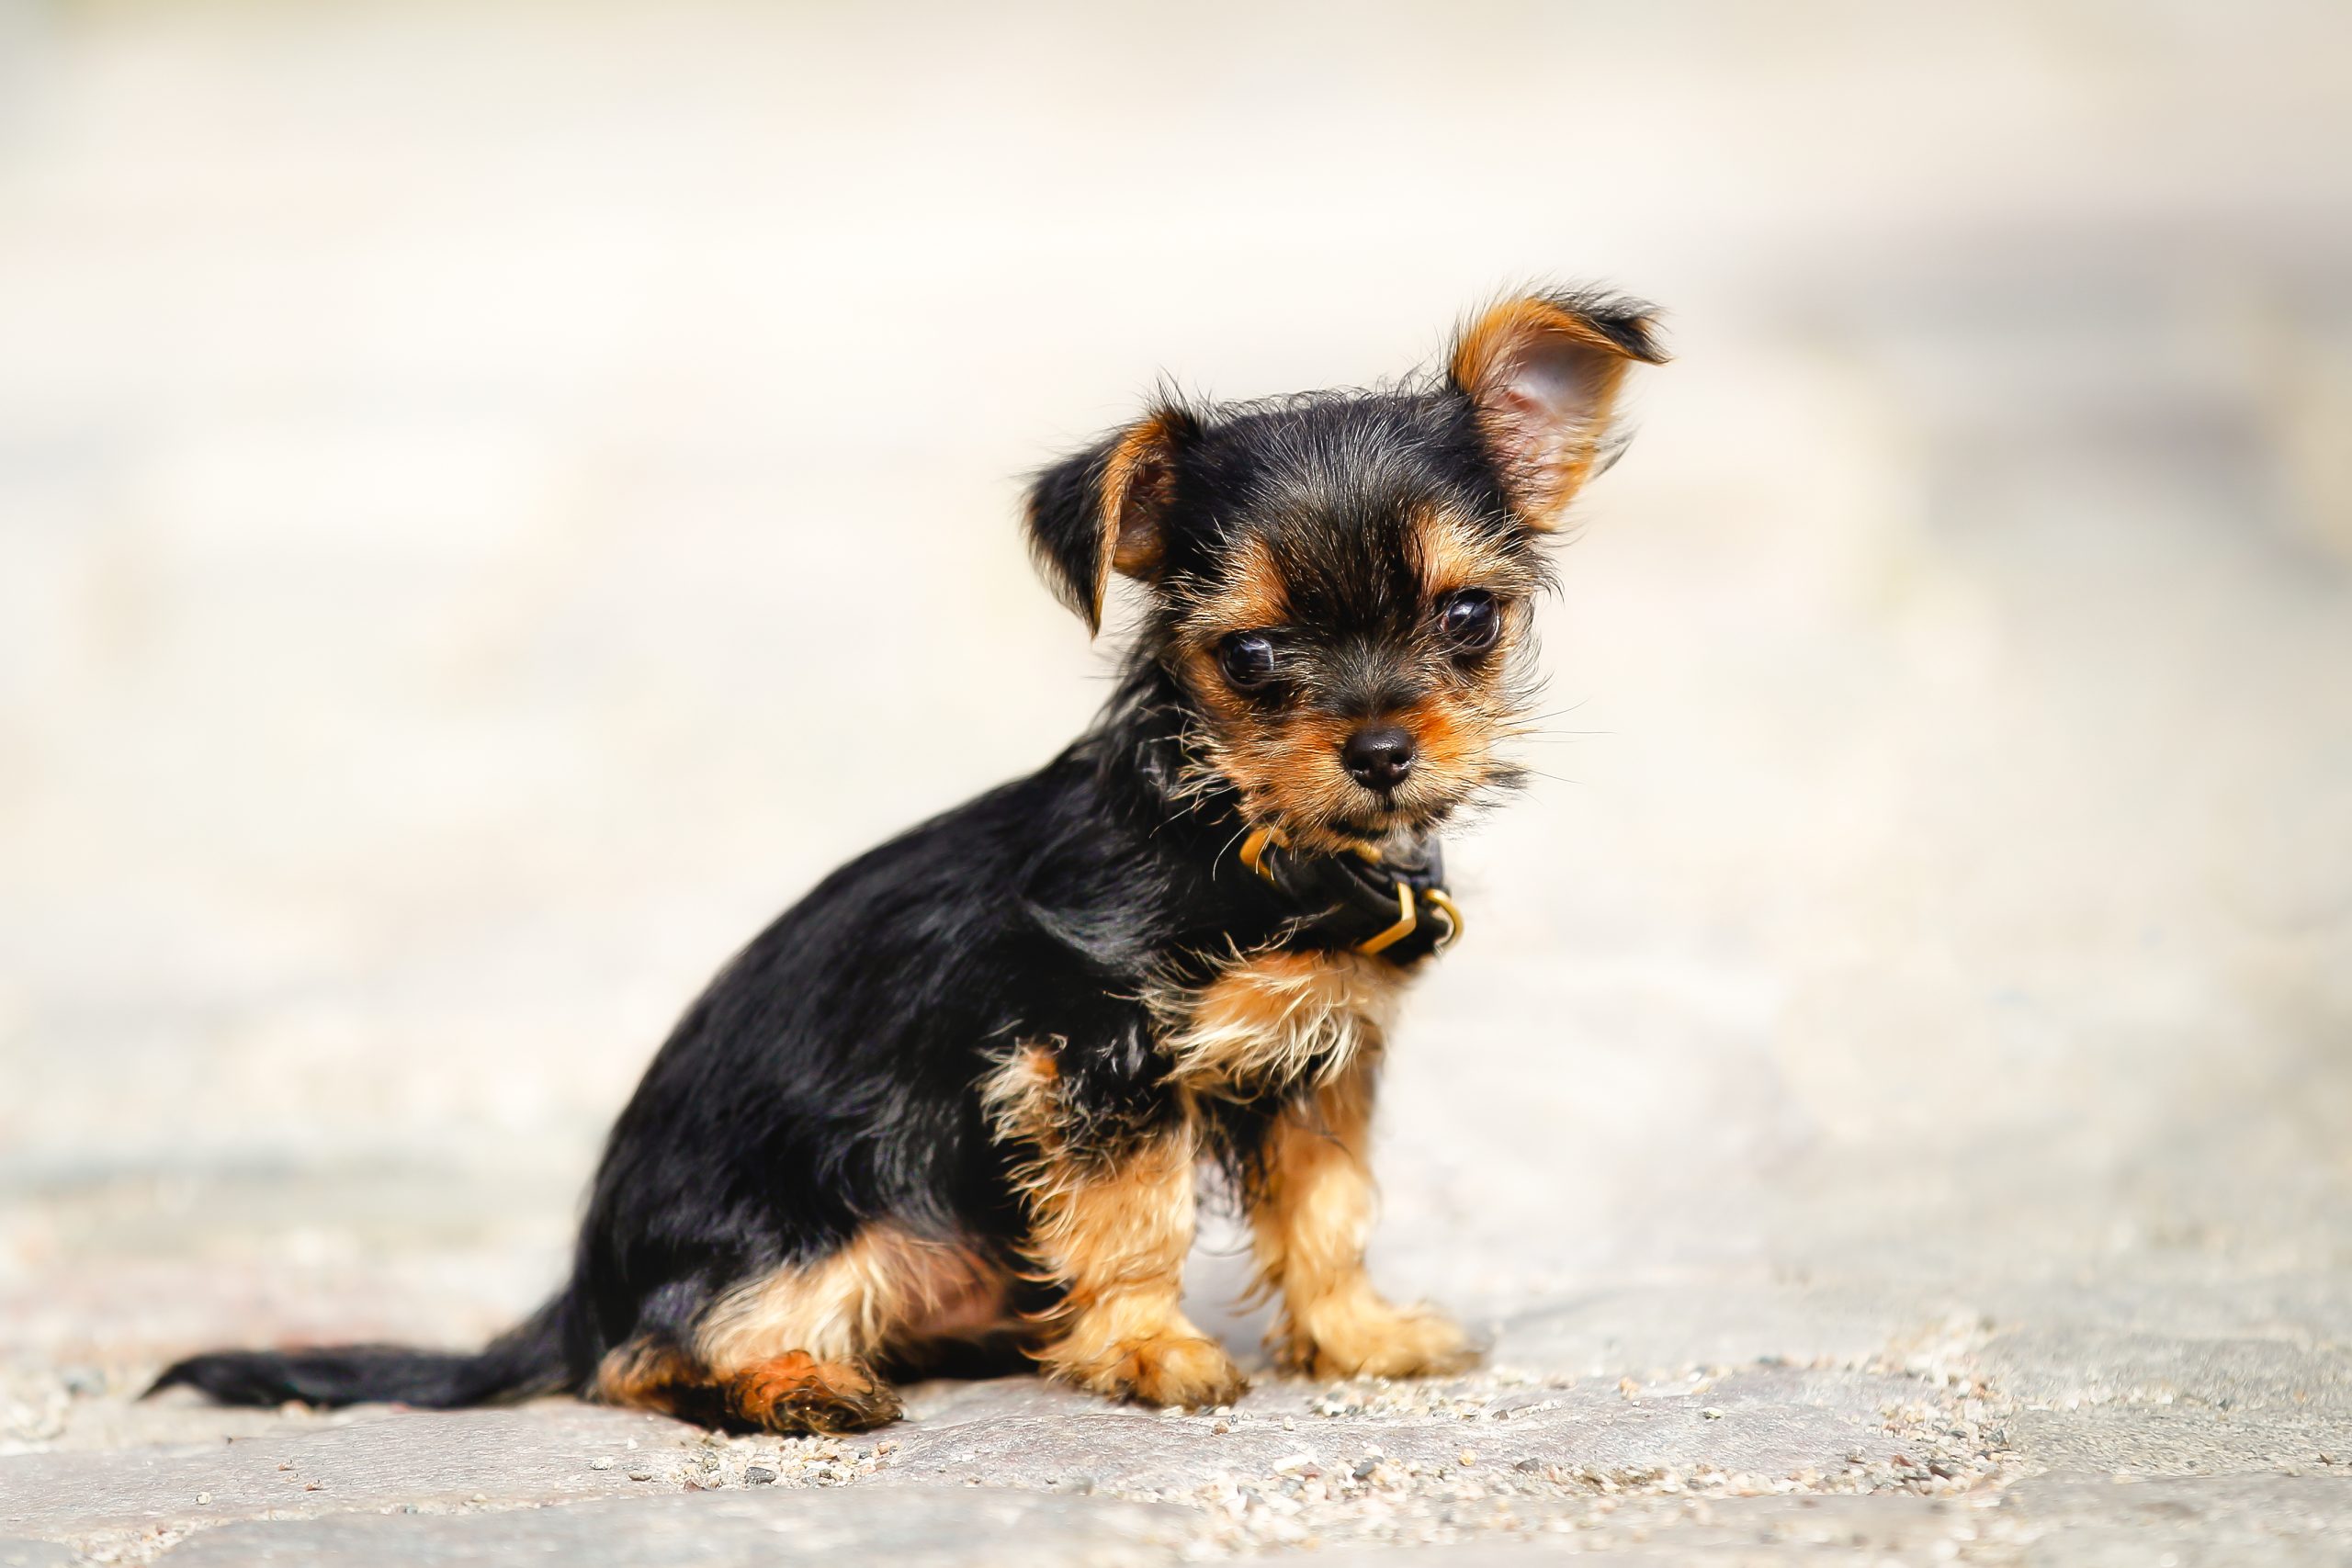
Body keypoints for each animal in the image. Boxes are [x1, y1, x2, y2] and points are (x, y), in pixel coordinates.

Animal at [152, 291, 1656, 1438]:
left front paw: (1356, 1335)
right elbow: (1138, 1217)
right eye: (1254, 654)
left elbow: (1327, 1209)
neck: (1235, 827)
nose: (1384, 748)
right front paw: (1150, 1351)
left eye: (1466, 620)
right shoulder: (1091, 1058)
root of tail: (579, 1286)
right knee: (651, 1355)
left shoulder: (1319, 1060)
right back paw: (796, 1385)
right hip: (826, 1224)